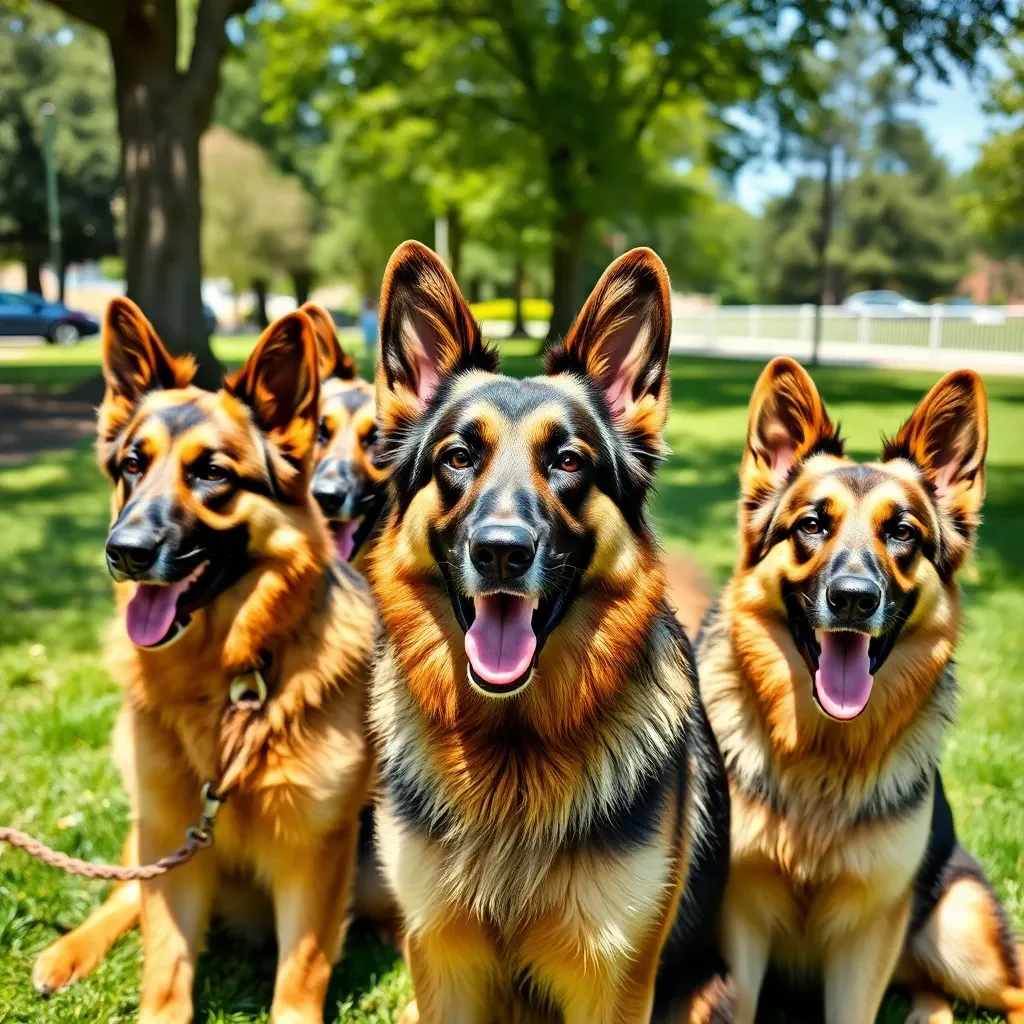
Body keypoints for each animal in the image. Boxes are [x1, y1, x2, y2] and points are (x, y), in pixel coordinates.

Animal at [32, 299, 378, 1019]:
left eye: (212, 473)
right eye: (133, 465)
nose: (125, 551)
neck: (227, 679)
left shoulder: (315, 857)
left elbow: (301, 974)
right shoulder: (173, 835)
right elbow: (164, 963)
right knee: (123, 894)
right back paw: (69, 951)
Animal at [364, 241, 733, 1024]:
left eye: (568, 461)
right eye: (457, 457)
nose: (501, 552)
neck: (513, 752)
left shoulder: (613, 978)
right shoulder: (440, 958)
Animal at [696, 354, 1024, 1024]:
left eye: (901, 533)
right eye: (812, 525)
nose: (852, 599)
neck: (824, 750)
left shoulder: (869, 929)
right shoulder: (742, 914)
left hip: (957, 938)